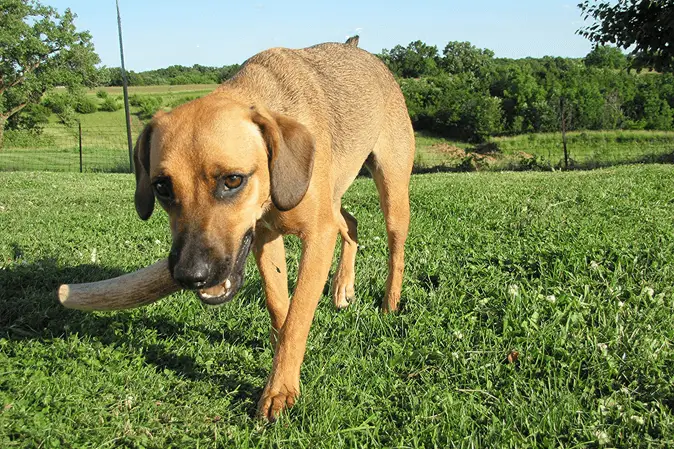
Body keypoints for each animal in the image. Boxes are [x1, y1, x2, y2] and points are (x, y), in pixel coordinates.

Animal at [131, 38, 412, 420]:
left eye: (233, 180)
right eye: (162, 187)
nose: (191, 275)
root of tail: (358, 49)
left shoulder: (317, 236)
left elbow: (297, 318)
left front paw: (280, 390)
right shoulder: (264, 238)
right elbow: (279, 304)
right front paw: (279, 359)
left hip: (392, 190)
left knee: (395, 249)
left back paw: (389, 304)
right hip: (334, 197)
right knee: (351, 224)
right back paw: (342, 286)